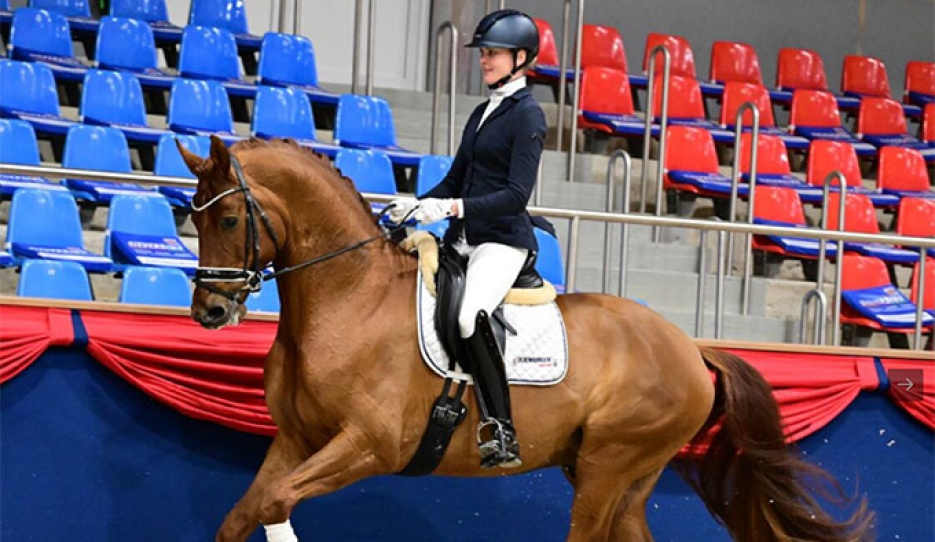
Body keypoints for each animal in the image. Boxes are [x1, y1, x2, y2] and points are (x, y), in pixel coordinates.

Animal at [177, 136, 873, 542]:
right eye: (191, 214)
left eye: (230, 218)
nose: (210, 310)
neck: (349, 300)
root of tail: (688, 345)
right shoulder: (297, 440)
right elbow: (246, 514)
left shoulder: (370, 446)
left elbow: (275, 505)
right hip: (623, 475)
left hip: (607, 465)